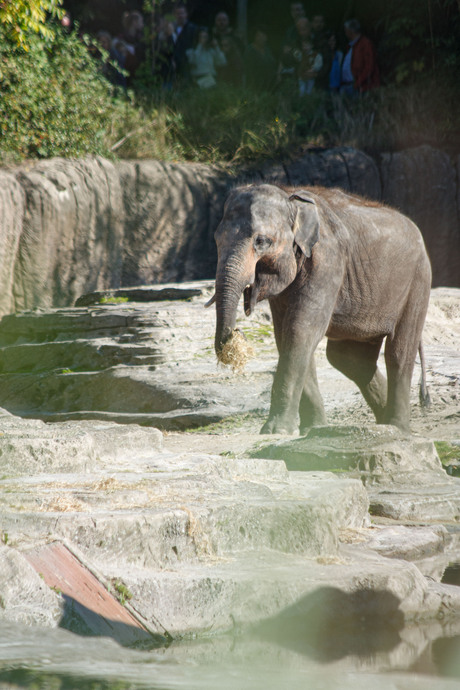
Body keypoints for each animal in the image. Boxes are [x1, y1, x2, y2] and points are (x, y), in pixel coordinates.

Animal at [208, 180, 432, 432]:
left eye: (261, 241)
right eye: (216, 240)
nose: (235, 333)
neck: (290, 197)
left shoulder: (328, 261)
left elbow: (300, 329)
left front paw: (276, 430)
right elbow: (285, 336)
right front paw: (313, 429)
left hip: (418, 282)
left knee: (398, 353)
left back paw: (397, 427)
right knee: (349, 359)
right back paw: (384, 422)